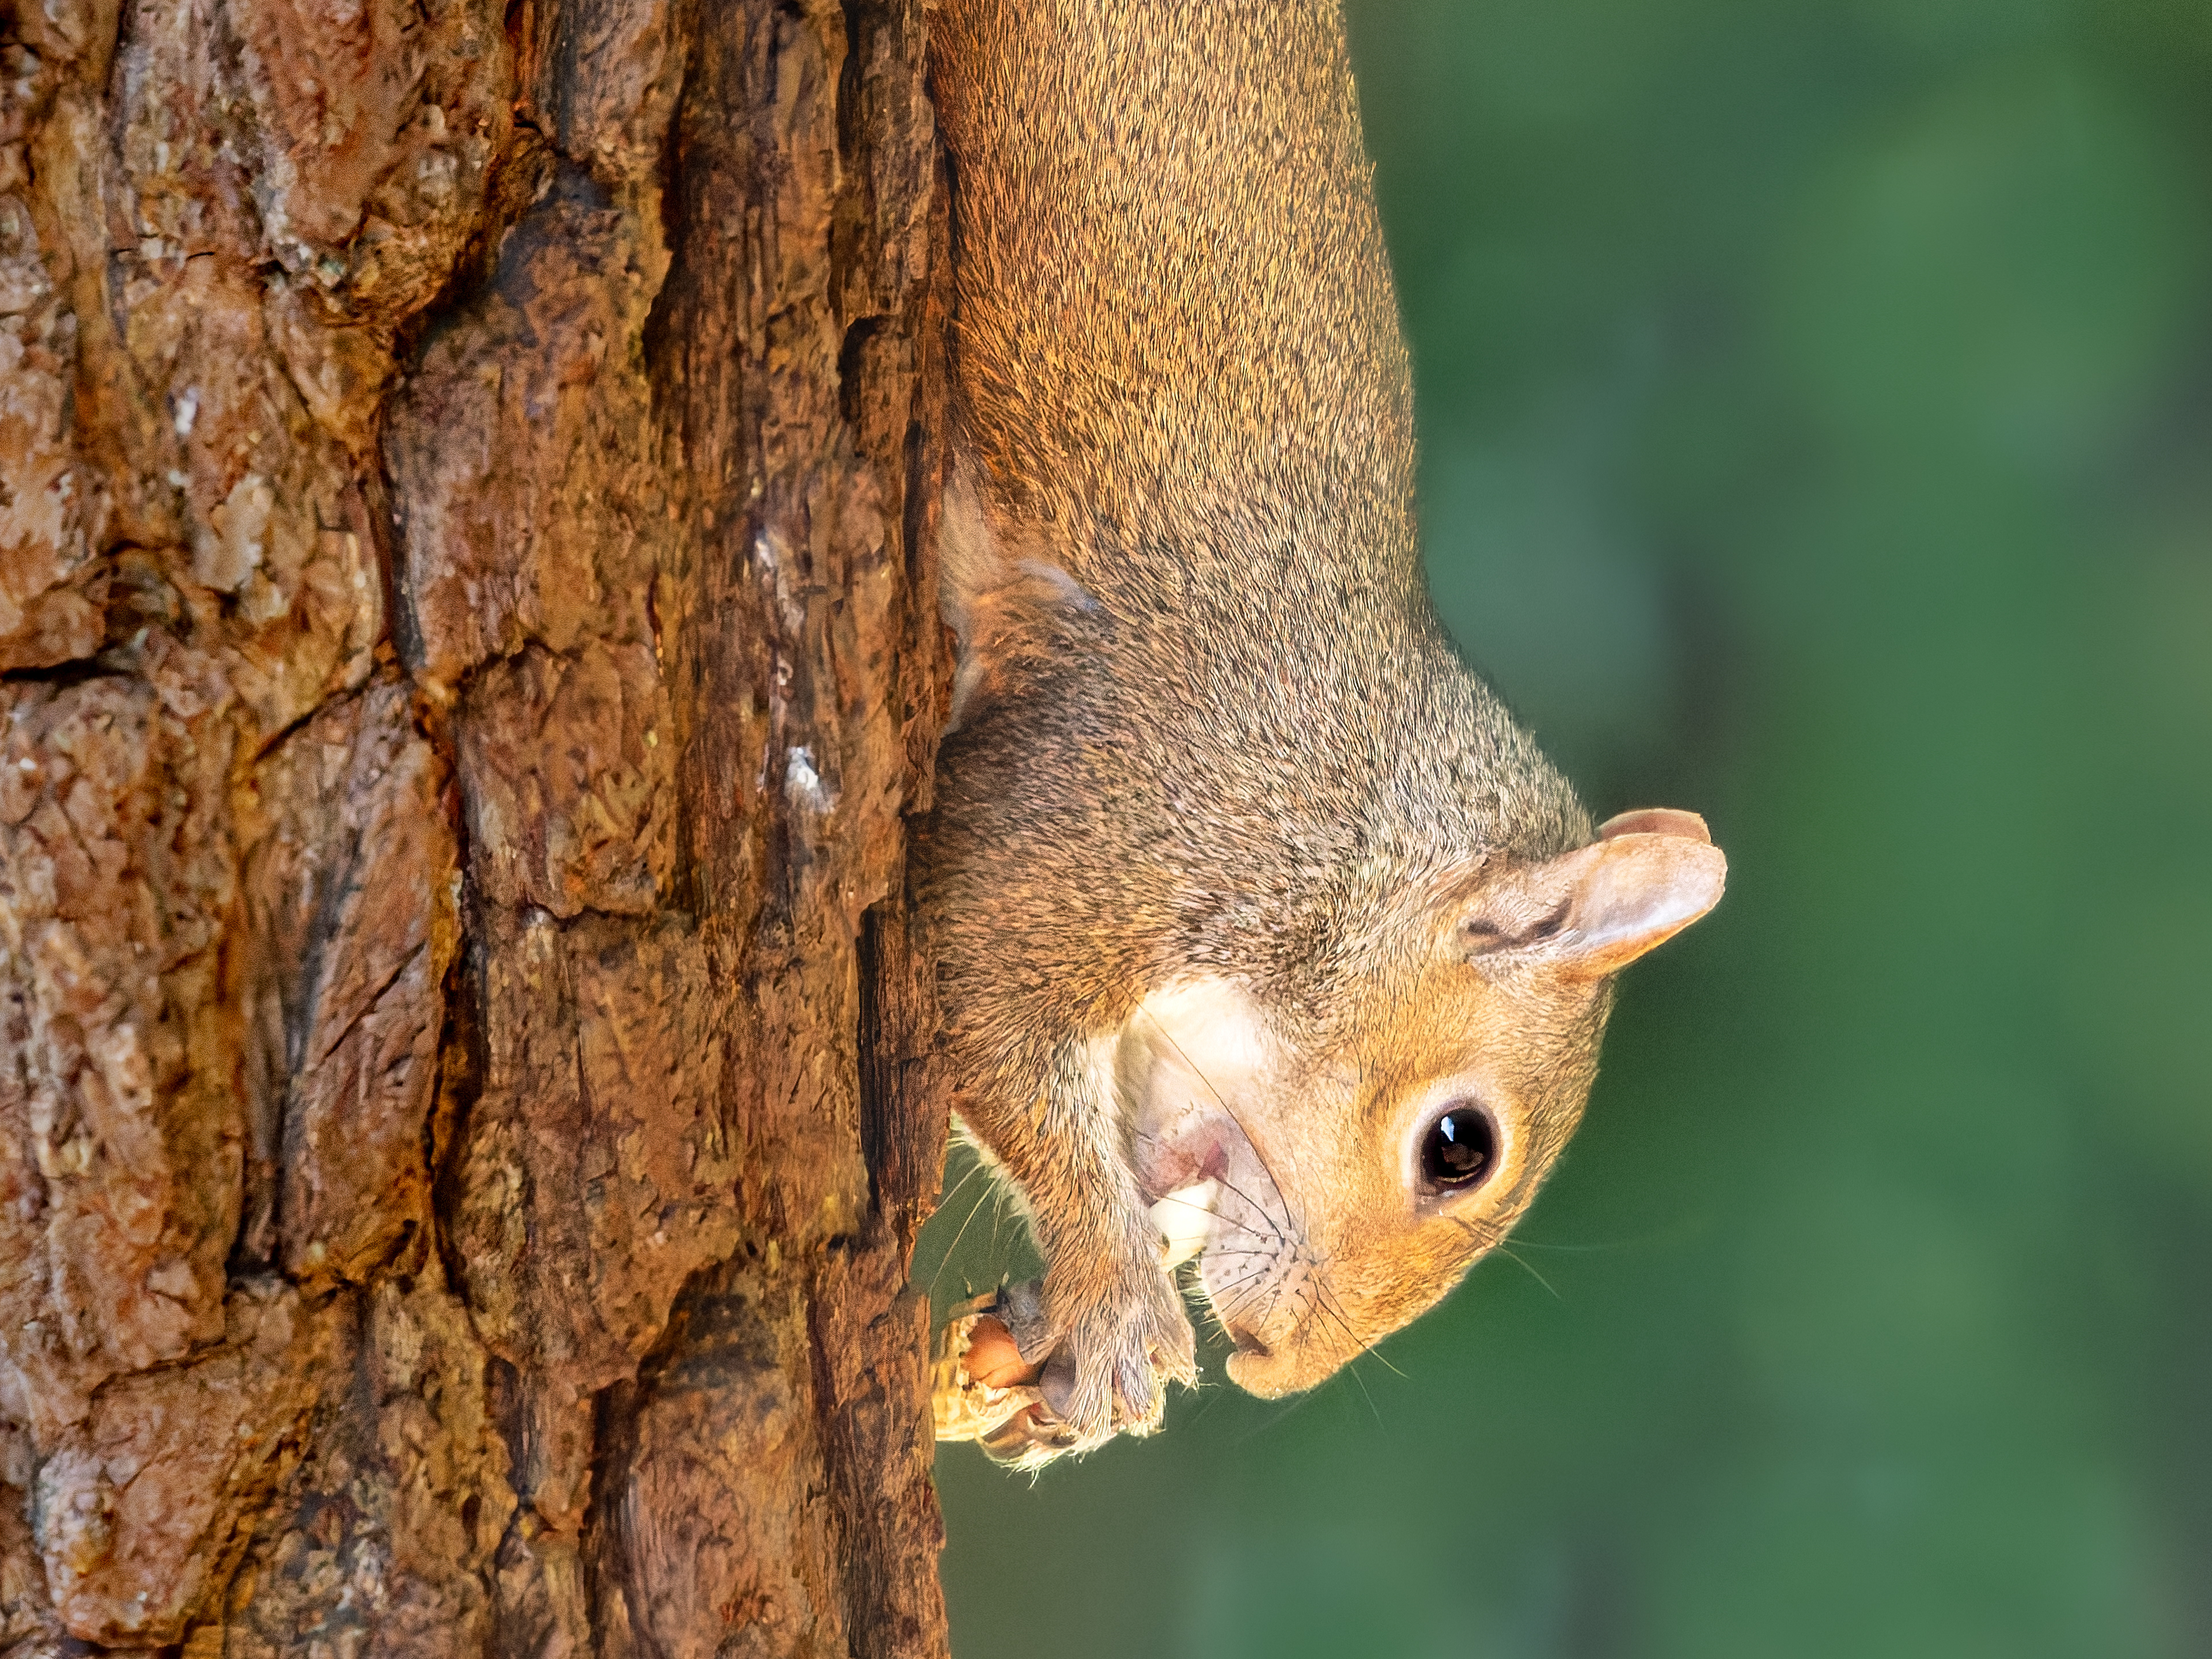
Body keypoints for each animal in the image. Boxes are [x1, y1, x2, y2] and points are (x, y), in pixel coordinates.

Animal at [915, 0, 1727, 1464]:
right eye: (1457, 1146)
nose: (1275, 1370)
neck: (1350, 823)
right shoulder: (1126, 807)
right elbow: (983, 984)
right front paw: (1116, 1304)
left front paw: (1035, 1371)